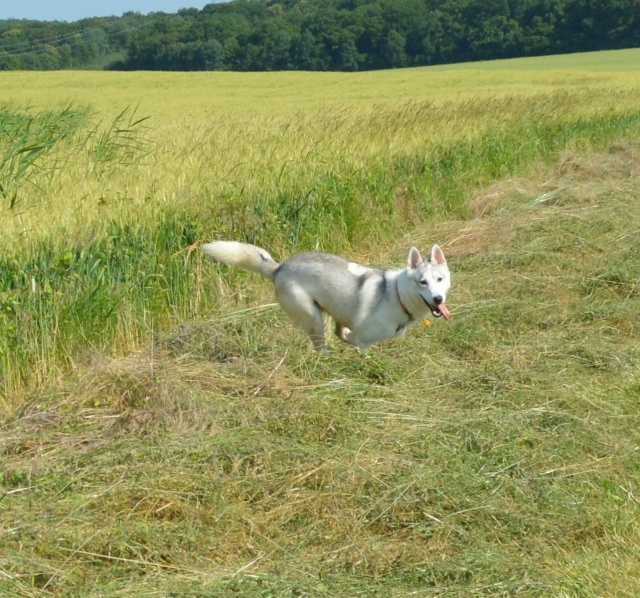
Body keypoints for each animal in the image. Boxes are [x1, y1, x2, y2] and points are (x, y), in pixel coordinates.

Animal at [200, 240, 450, 352]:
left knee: (338, 331)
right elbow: (362, 349)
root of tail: (279, 268)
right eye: (423, 282)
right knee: (321, 345)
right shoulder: (362, 341)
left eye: (439, 280)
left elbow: (347, 336)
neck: (397, 295)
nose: (438, 299)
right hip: (314, 320)